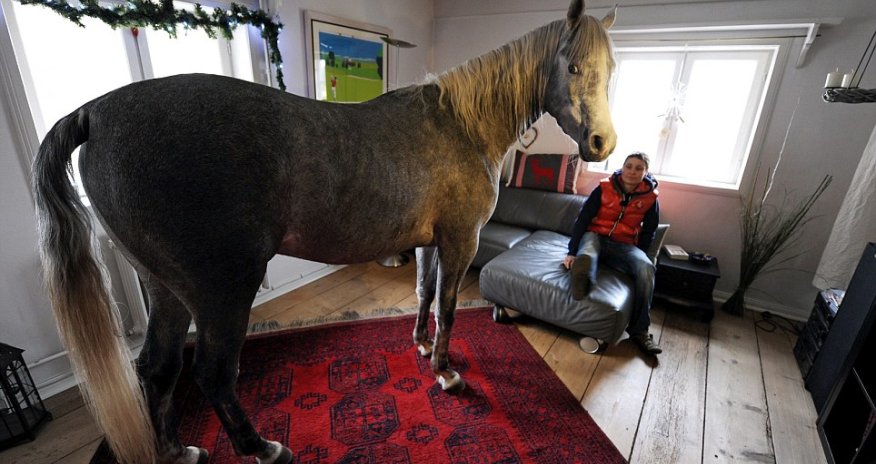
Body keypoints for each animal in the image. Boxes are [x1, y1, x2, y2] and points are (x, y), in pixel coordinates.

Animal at [32, 1, 616, 462]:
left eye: (610, 68)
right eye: (571, 64)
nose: (601, 143)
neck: (462, 125)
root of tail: (97, 113)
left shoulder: (430, 243)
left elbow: (424, 295)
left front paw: (422, 346)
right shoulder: (460, 242)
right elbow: (449, 307)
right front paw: (446, 372)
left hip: (165, 287)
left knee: (158, 370)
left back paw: (179, 451)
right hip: (223, 289)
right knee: (213, 374)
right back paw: (263, 448)